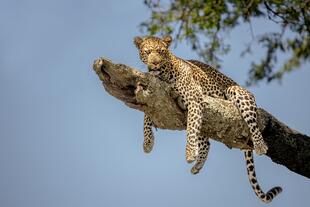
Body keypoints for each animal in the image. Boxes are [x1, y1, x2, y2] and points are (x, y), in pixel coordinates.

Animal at [133, 35, 280, 202]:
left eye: (161, 51)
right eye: (148, 52)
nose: (155, 63)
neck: (163, 73)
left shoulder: (194, 99)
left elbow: (190, 130)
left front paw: (190, 152)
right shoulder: (153, 93)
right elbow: (146, 115)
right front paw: (147, 142)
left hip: (236, 92)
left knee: (253, 123)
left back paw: (260, 145)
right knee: (206, 143)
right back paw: (197, 166)